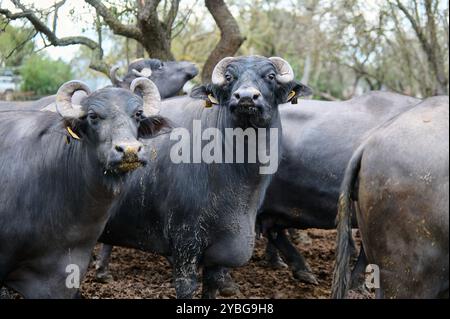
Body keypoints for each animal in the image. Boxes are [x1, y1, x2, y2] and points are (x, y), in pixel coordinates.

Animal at [97, 55, 312, 300]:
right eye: (229, 77)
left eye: (271, 76)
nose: (246, 97)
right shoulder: (185, 242)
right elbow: (186, 285)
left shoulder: (220, 251)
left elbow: (212, 285)